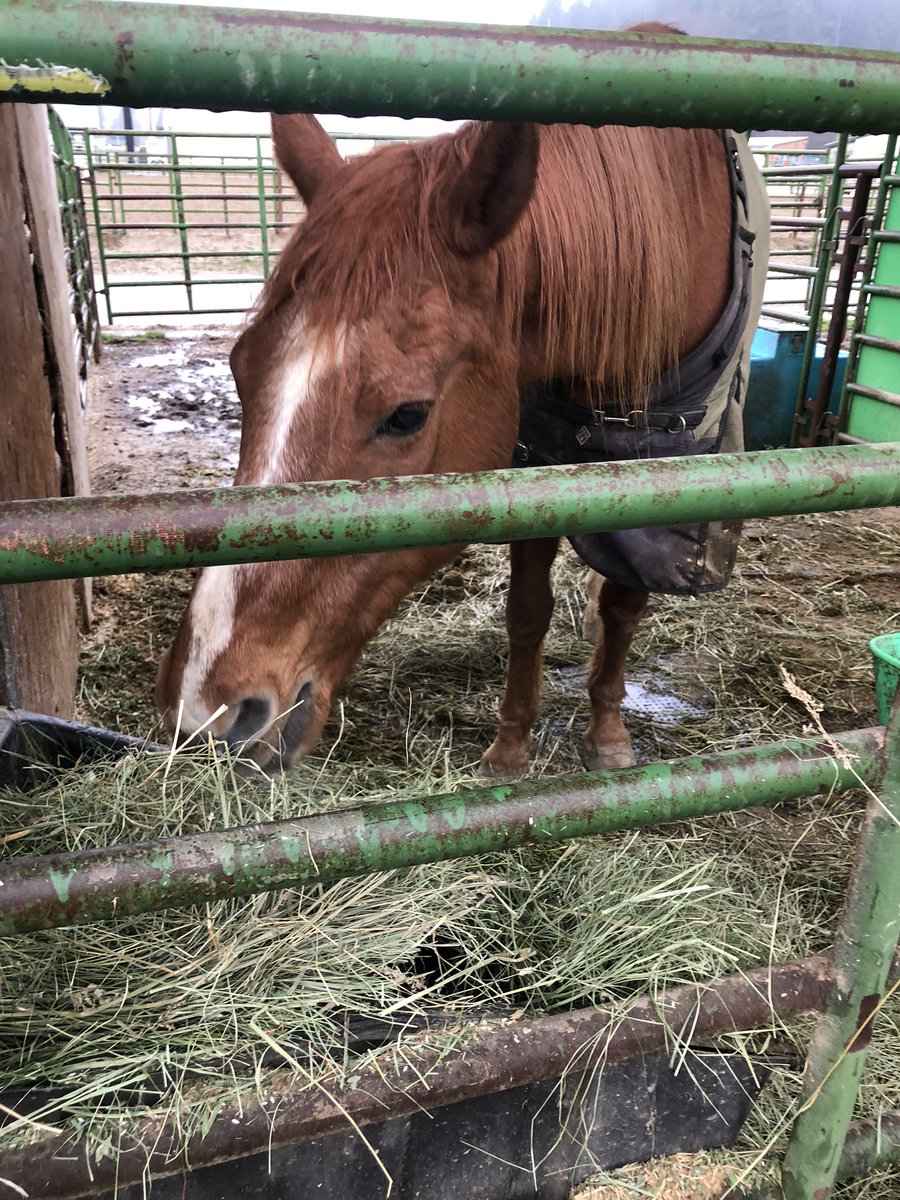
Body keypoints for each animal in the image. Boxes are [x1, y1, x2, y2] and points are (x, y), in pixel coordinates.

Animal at [156, 85, 769, 776]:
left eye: (408, 414)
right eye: (240, 369)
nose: (205, 710)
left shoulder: (665, 492)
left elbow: (624, 606)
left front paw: (608, 735)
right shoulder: (536, 463)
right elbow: (527, 612)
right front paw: (510, 747)